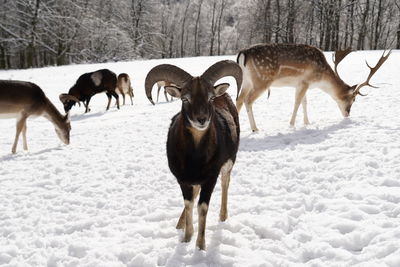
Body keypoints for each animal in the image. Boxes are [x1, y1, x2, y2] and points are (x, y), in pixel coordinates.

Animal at [145, 59, 242, 250]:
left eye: (210, 97)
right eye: (185, 98)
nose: (202, 119)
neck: (194, 157)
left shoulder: (210, 179)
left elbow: (202, 208)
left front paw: (200, 246)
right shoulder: (183, 180)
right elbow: (189, 204)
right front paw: (186, 237)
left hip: (228, 164)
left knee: (225, 183)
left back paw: (222, 216)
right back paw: (179, 224)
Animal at [238, 43, 390, 132]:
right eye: (353, 100)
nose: (347, 114)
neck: (321, 79)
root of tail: (243, 53)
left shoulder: (301, 84)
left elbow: (305, 102)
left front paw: (307, 122)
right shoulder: (305, 81)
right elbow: (297, 102)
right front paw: (291, 124)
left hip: (247, 81)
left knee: (238, 99)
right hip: (262, 80)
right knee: (248, 100)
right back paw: (255, 128)